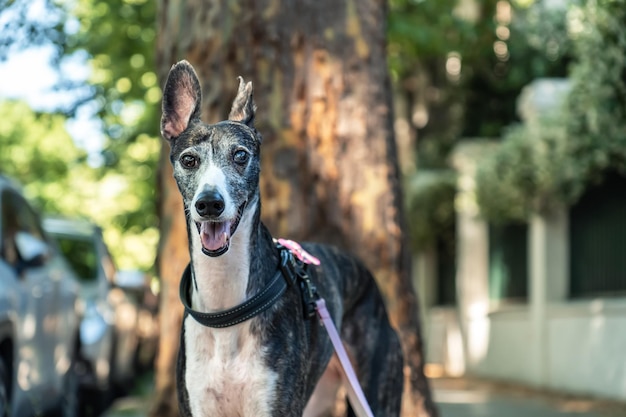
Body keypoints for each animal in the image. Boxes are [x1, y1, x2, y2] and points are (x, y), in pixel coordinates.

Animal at [161, 59, 402, 416]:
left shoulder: (275, 404)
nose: (209, 204)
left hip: (373, 391)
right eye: (188, 159)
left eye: (240, 155)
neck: (225, 306)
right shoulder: (197, 404)